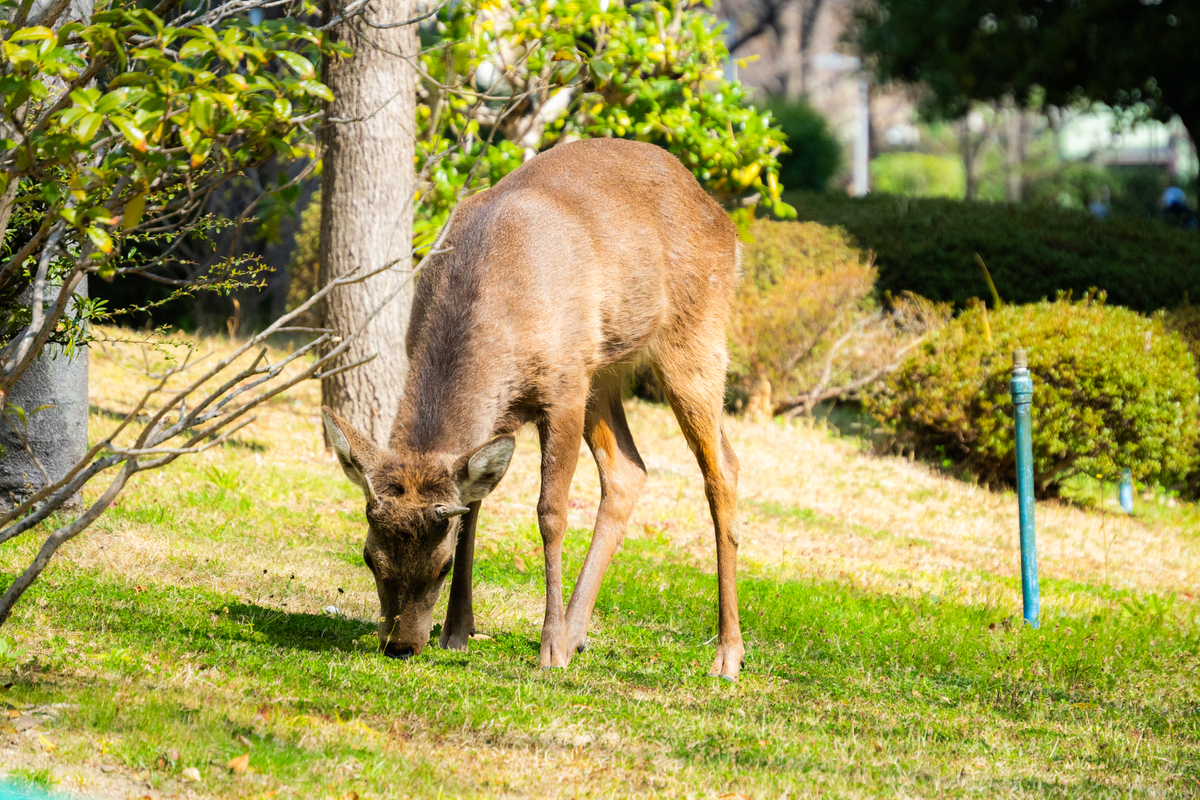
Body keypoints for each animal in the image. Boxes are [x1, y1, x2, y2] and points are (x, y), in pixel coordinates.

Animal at [321, 137, 745, 680]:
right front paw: (457, 631)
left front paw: (549, 649)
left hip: (694, 337)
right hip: (602, 371)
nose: (399, 644)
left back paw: (726, 654)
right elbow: (474, 508)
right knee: (628, 470)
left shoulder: (562, 390)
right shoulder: (514, 408)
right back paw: (578, 631)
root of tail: (725, 222)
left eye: (439, 565)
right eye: (369, 557)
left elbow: (550, 513)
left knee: (722, 469)